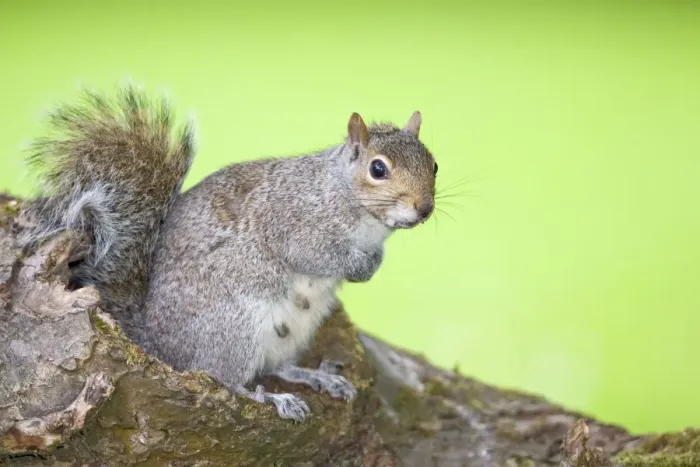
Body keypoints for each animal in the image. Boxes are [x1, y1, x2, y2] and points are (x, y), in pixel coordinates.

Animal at [20, 85, 438, 421]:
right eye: (378, 169)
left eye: (433, 163)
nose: (424, 208)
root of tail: (158, 343)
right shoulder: (293, 222)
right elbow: (314, 254)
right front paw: (358, 266)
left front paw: (373, 263)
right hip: (234, 327)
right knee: (223, 378)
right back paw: (272, 400)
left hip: (294, 332)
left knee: (277, 367)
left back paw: (314, 376)